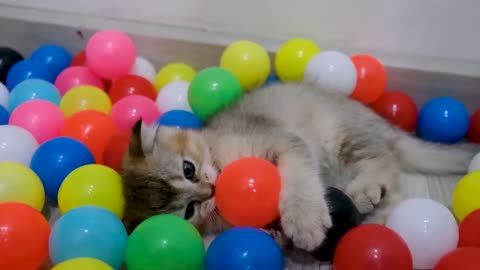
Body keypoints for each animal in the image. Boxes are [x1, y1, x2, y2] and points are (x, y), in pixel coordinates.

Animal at [121, 81, 480, 253]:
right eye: (189, 210)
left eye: (188, 169)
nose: (210, 190)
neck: (217, 150)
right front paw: (276, 235)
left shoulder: (285, 140)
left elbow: (298, 174)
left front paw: (304, 220)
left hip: (341, 134)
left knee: (385, 159)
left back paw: (365, 191)